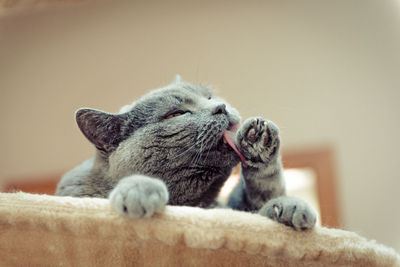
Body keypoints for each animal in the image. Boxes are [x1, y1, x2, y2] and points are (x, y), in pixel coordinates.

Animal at [56, 76, 318, 232]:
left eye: (209, 97)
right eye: (177, 114)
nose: (220, 107)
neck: (195, 202)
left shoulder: (232, 208)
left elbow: (264, 192)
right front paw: (139, 191)